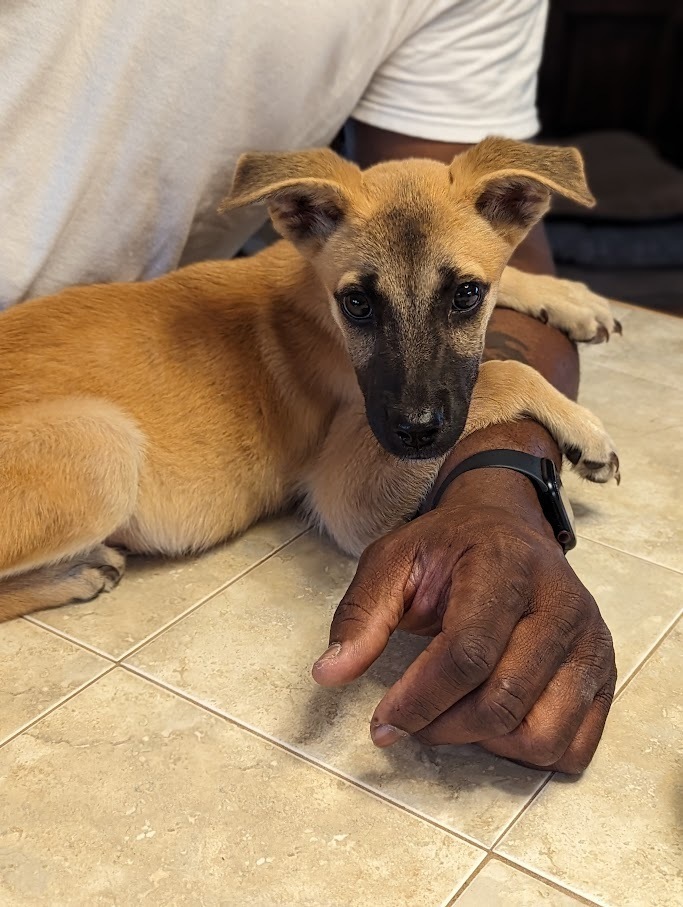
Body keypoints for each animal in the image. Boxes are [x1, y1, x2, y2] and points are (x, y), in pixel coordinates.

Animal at [0, 138, 620, 624]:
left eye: (467, 294)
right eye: (358, 304)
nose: (417, 433)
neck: (317, 309)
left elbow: (505, 294)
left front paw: (567, 297)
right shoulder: (347, 495)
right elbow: (502, 369)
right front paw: (582, 426)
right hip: (102, 443)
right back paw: (74, 574)